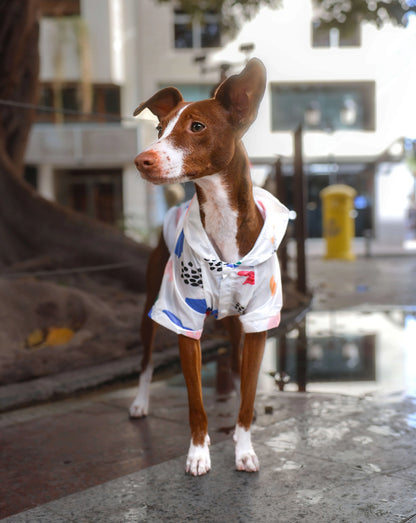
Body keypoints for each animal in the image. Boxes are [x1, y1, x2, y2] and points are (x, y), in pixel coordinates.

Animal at [132, 59, 288, 476]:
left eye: (197, 127)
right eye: (159, 129)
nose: (142, 160)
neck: (220, 217)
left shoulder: (259, 323)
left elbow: (248, 396)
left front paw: (244, 447)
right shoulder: (183, 318)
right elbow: (196, 403)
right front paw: (198, 453)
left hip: (236, 324)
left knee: (234, 365)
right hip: (151, 304)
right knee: (147, 360)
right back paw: (140, 402)